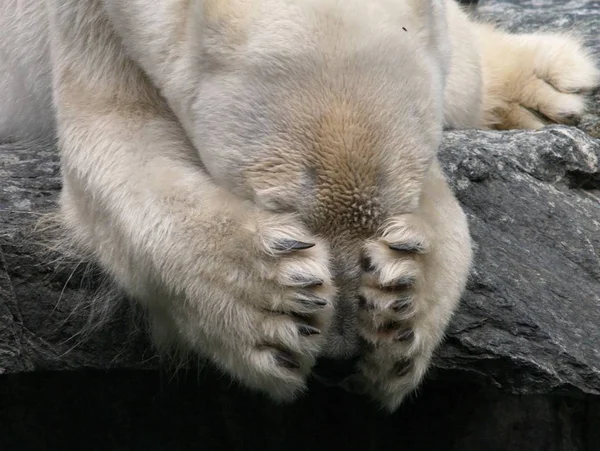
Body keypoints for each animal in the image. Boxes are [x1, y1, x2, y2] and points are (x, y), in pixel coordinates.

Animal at [0, 0, 596, 412]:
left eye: (387, 211)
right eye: (284, 210)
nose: (339, 358)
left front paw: (405, 307)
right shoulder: (89, 24)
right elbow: (120, 144)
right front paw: (272, 311)